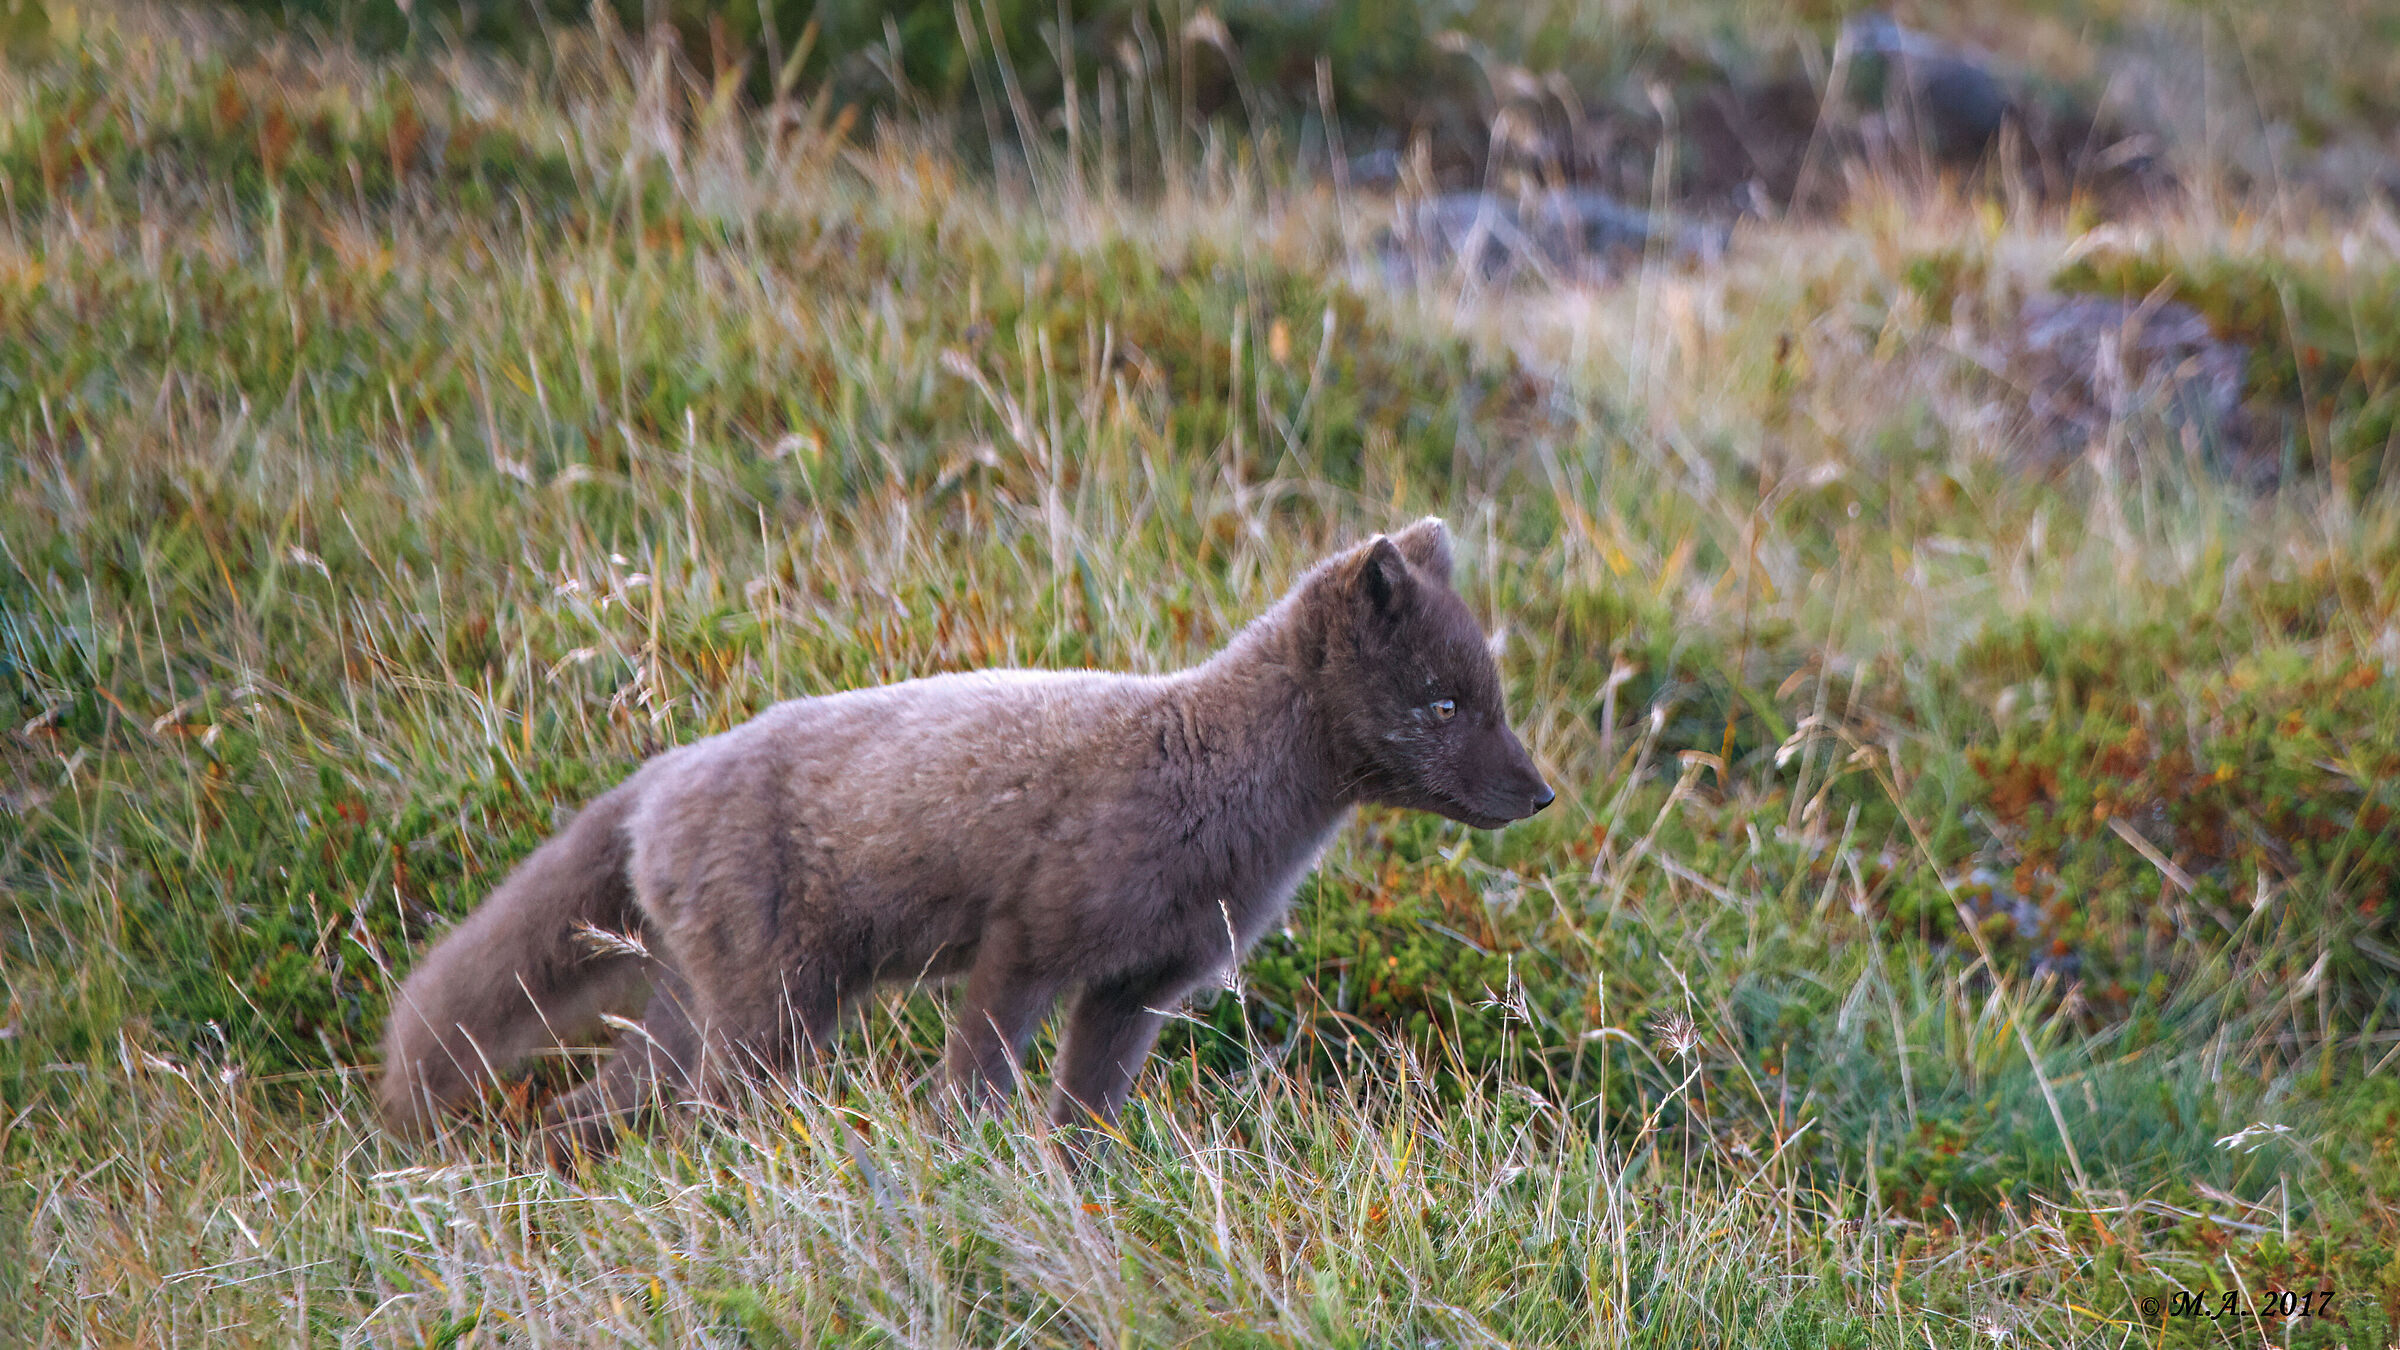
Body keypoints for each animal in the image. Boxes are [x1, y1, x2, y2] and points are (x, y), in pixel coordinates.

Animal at [378, 517, 1554, 1154]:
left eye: (1497, 699)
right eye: (1444, 704)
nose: (1541, 795)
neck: (1210, 775)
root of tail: (656, 779)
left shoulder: (1137, 989)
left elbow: (1086, 1121)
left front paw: (1078, 1192)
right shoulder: (1026, 943)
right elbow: (978, 1088)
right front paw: (967, 1172)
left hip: (705, 1009)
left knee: (603, 1106)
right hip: (773, 1011)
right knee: (697, 1110)